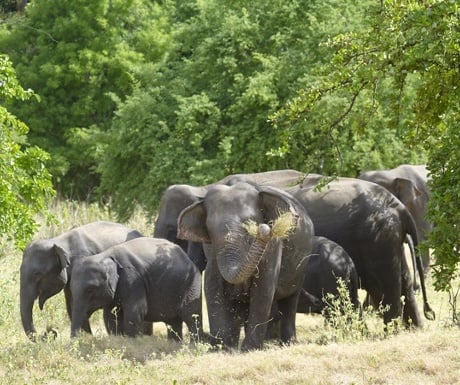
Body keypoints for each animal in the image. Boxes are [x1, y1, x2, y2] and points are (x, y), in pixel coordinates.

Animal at [69, 237, 203, 342]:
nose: (77, 341)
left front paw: (132, 342)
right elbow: (110, 314)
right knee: (173, 321)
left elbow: (136, 310)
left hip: (192, 284)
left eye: (90, 290)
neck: (104, 255)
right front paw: (117, 339)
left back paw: (194, 345)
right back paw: (174, 343)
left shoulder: (133, 279)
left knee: (192, 315)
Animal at [176, 182, 312, 350]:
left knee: (290, 300)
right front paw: (220, 348)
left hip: (301, 268)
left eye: (250, 224)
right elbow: (212, 284)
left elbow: (264, 288)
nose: (263, 228)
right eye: (210, 230)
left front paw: (249, 349)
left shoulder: (274, 245)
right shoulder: (212, 250)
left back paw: (288, 344)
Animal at [288, 174, 434, 328]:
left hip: (377, 238)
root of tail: (399, 206)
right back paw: (415, 328)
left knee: (384, 289)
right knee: (403, 284)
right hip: (389, 237)